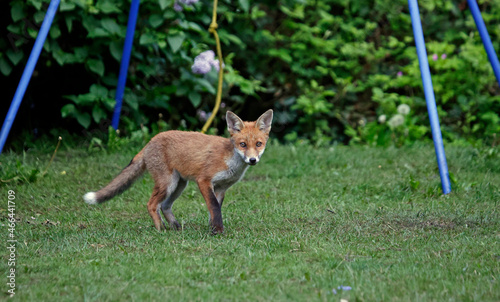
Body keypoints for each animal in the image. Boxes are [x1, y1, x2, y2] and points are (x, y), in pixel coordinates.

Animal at [85, 109, 274, 235]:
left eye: (258, 144)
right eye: (243, 144)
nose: (252, 160)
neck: (230, 161)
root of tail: (150, 142)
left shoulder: (221, 188)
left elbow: (215, 209)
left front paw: (213, 228)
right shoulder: (204, 180)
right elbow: (213, 206)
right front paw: (218, 231)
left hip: (179, 185)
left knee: (165, 206)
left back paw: (175, 227)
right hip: (168, 183)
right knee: (152, 204)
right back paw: (161, 229)